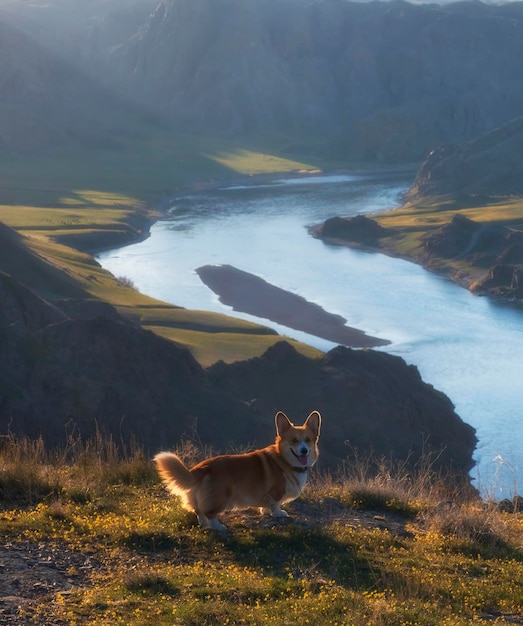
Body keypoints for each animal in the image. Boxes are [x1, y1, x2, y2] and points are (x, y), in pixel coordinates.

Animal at [154, 412, 322, 528]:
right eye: (294, 441)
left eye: (307, 440)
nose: (304, 451)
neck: (284, 460)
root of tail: (202, 467)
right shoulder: (274, 492)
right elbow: (275, 504)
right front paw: (278, 514)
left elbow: (266, 506)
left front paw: (265, 512)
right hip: (222, 495)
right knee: (209, 512)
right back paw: (218, 527)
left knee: (198, 511)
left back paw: (204, 524)